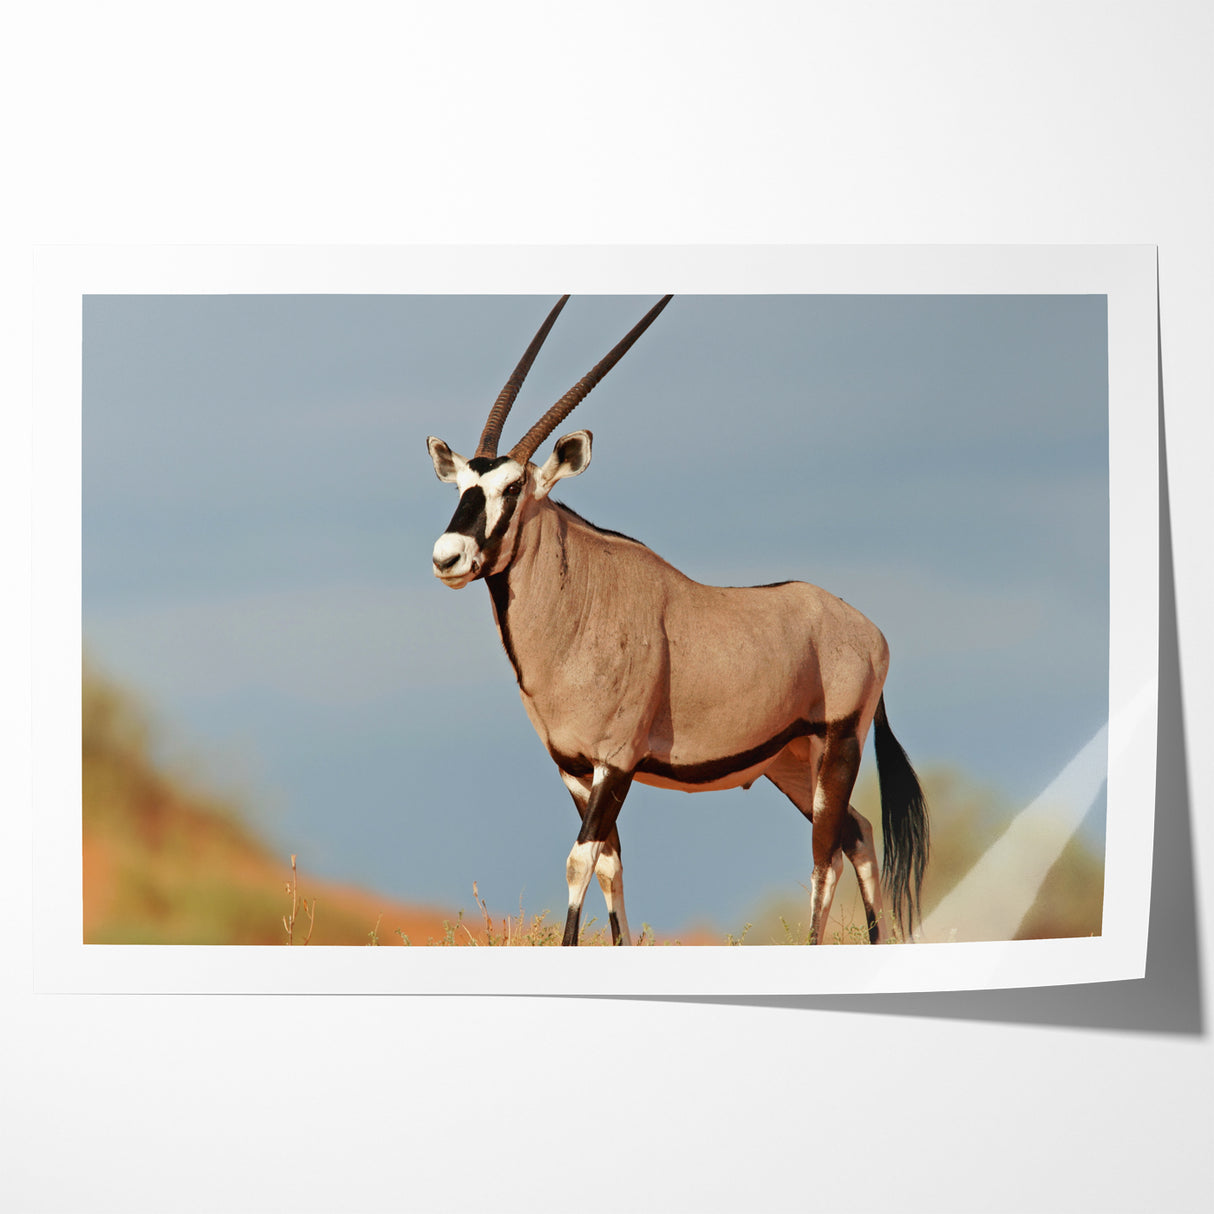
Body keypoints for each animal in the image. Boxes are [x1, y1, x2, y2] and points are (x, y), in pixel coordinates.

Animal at [427, 295, 929, 946]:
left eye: (512, 487)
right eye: (462, 485)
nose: (447, 557)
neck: (579, 603)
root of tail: (869, 632)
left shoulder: (617, 760)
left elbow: (580, 859)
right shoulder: (574, 768)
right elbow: (609, 863)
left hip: (839, 744)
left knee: (826, 856)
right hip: (792, 763)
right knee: (858, 835)